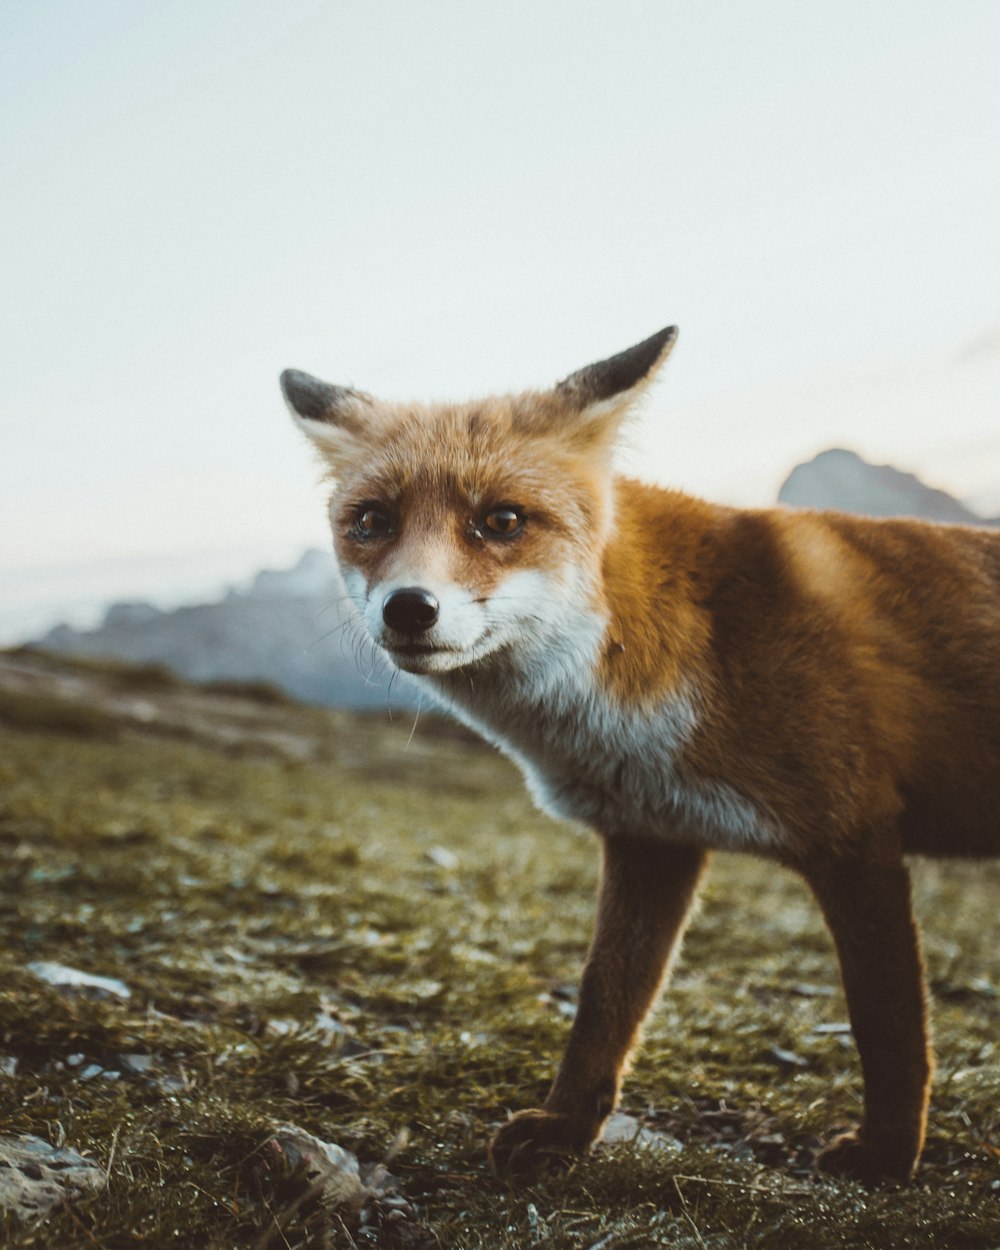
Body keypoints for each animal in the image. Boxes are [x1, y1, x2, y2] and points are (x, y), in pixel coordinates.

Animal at [281, 327, 1000, 1185]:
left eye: (502, 519)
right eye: (373, 520)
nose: (408, 608)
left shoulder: (854, 836)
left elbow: (888, 1026)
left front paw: (888, 1157)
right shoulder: (652, 837)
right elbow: (605, 1002)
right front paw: (565, 1129)